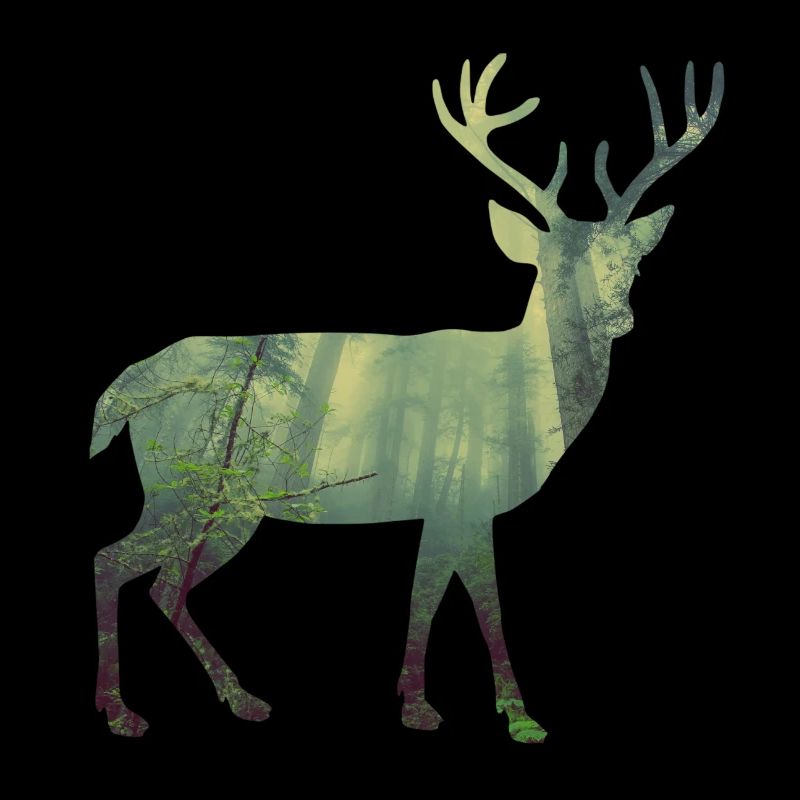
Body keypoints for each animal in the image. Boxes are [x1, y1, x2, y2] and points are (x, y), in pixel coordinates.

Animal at [90, 54, 723, 740]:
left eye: (633, 262)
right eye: (551, 267)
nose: (615, 317)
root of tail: (128, 384)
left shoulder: (442, 507)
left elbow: (426, 596)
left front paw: (423, 703)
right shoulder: (465, 499)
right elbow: (473, 605)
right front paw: (514, 716)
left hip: (222, 500)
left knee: (163, 582)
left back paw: (239, 697)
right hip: (190, 483)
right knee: (116, 562)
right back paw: (123, 710)